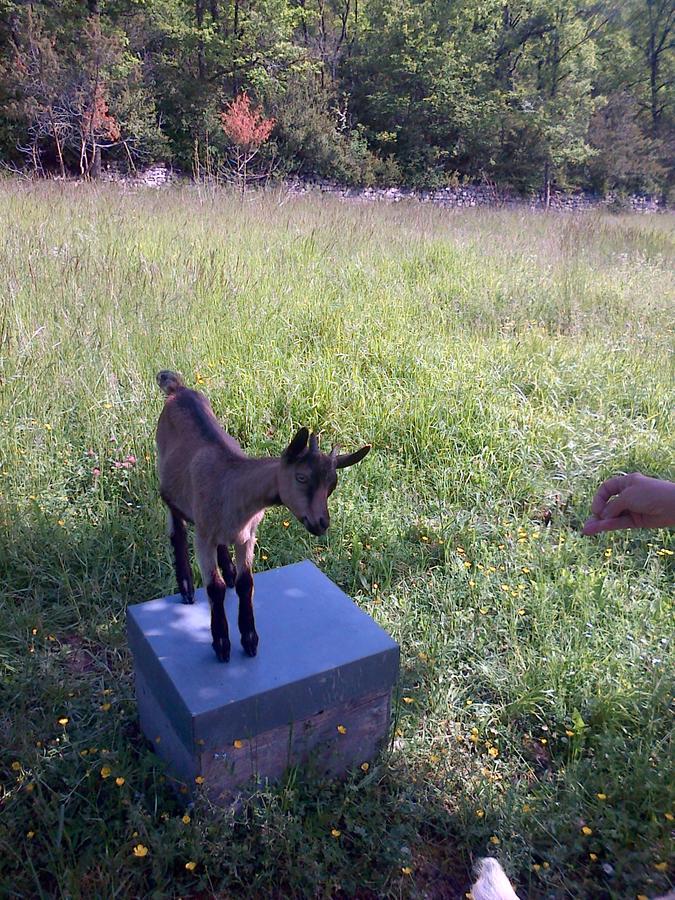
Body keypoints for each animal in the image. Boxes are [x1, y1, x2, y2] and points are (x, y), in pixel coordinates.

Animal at [156, 370, 372, 660]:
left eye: (332, 485)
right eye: (301, 477)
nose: (322, 523)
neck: (231, 486)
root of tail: (177, 388)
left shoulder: (248, 536)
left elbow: (246, 583)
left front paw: (249, 639)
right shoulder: (203, 537)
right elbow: (215, 588)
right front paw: (221, 643)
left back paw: (229, 569)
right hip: (166, 480)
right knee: (177, 530)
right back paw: (187, 588)